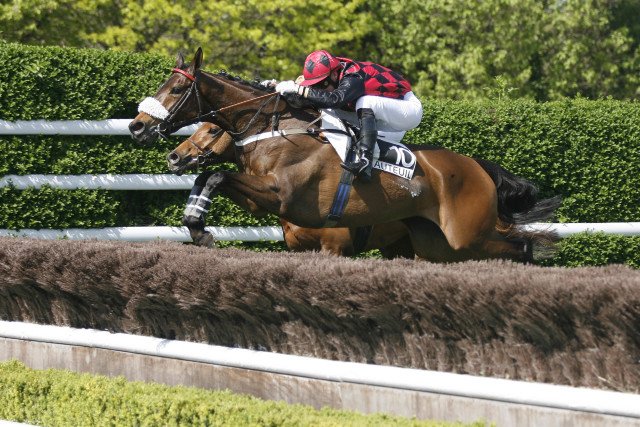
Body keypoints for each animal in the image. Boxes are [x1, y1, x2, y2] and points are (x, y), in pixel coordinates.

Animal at [129, 48, 560, 262]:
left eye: (174, 89)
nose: (137, 126)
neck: (276, 129)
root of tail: (479, 168)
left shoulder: (284, 196)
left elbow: (216, 175)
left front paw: (200, 230)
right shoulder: (265, 202)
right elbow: (209, 178)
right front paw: (196, 225)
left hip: (466, 234)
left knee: (520, 246)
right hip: (434, 243)